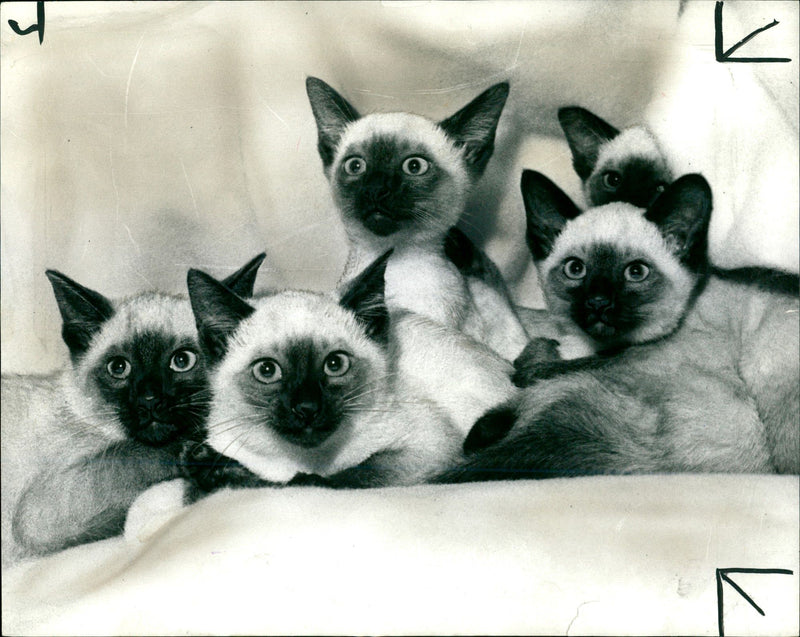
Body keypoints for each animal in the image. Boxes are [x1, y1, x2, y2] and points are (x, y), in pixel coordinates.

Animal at [181, 250, 460, 492]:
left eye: (335, 364)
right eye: (267, 370)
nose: (307, 408)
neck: (304, 460)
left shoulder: (431, 446)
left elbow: (361, 470)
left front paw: (305, 480)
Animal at [440, 174, 796, 472]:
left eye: (636, 272)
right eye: (575, 269)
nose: (598, 302)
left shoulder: (639, 356)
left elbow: (537, 362)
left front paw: (531, 362)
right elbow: (520, 318)